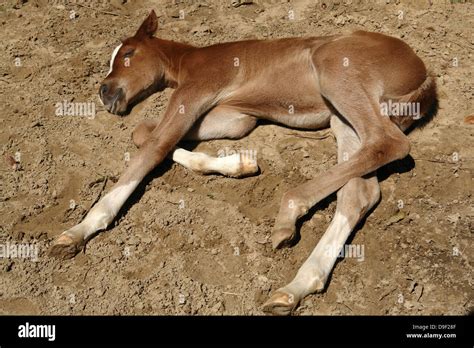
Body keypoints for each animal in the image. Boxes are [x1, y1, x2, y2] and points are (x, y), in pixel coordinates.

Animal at [50, 10, 436, 316]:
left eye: (129, 53)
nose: (104, 92)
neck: (190, 62)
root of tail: (426, 76)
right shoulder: (236, 116)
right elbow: (144, 133)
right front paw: (239, 164)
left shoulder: (199, 89)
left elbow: (154, 147)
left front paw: (79, 230)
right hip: (341, 117)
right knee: (361, 191)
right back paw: (294, 288)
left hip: (337, 71)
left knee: (389, 143)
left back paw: (289, 214)